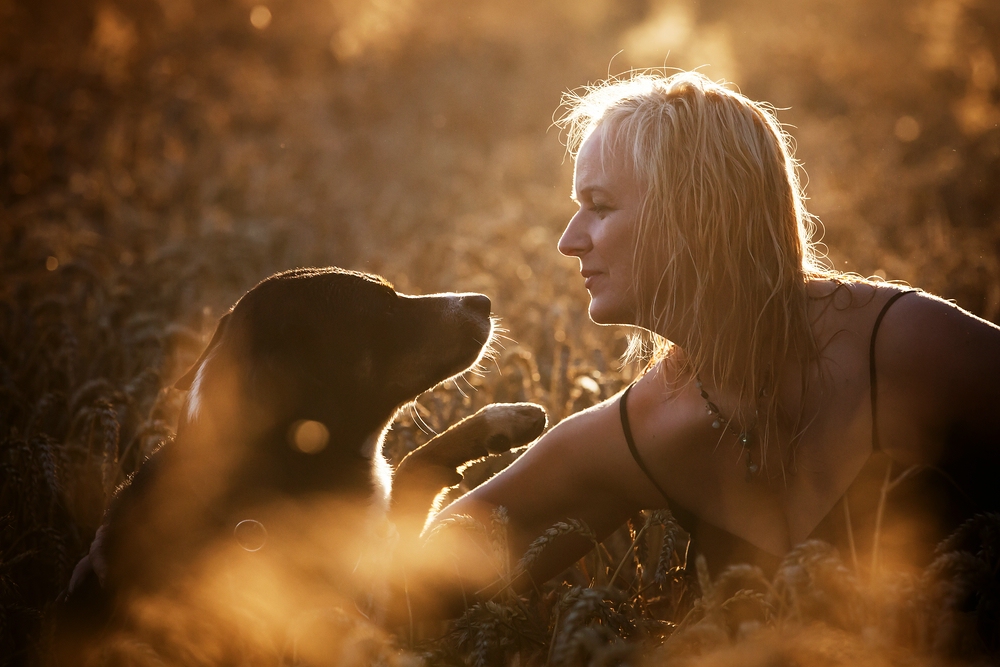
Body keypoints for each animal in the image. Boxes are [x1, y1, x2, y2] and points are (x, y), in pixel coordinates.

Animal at [54, 268, 548, 664]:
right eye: (384, 310)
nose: (482, 301)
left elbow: (416, 461)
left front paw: (505, 420)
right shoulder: (378, 612)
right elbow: (413, 470)